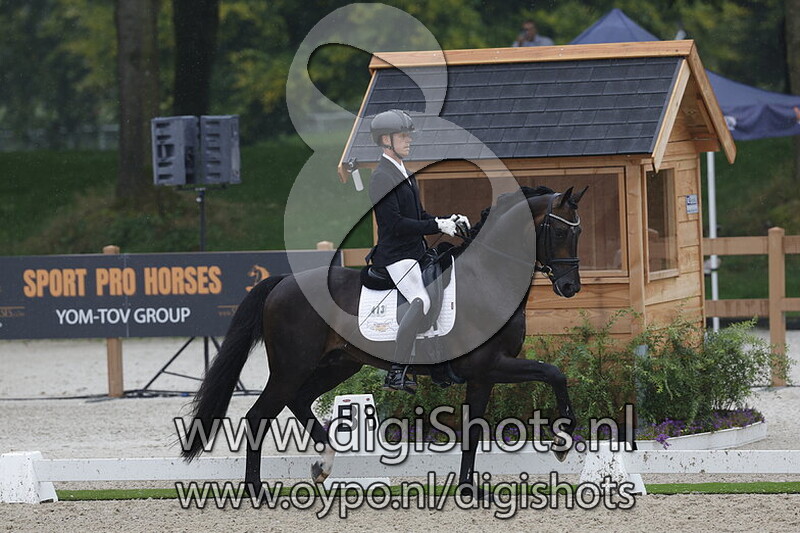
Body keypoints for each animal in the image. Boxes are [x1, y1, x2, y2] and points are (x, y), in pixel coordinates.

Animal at [181, 184, 588, 500]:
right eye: (560, 233)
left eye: (578, 234)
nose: (570, 287)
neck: (489, 277)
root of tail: (283, 282)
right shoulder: (489, 365)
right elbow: (554, 373)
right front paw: (563, 442)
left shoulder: (483, 375)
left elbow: (473, 431)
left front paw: (470, 489)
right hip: (290, 367)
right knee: (258, 417)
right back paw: (256, 489)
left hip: (339, 364)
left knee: (300, 401)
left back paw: (323, 464)